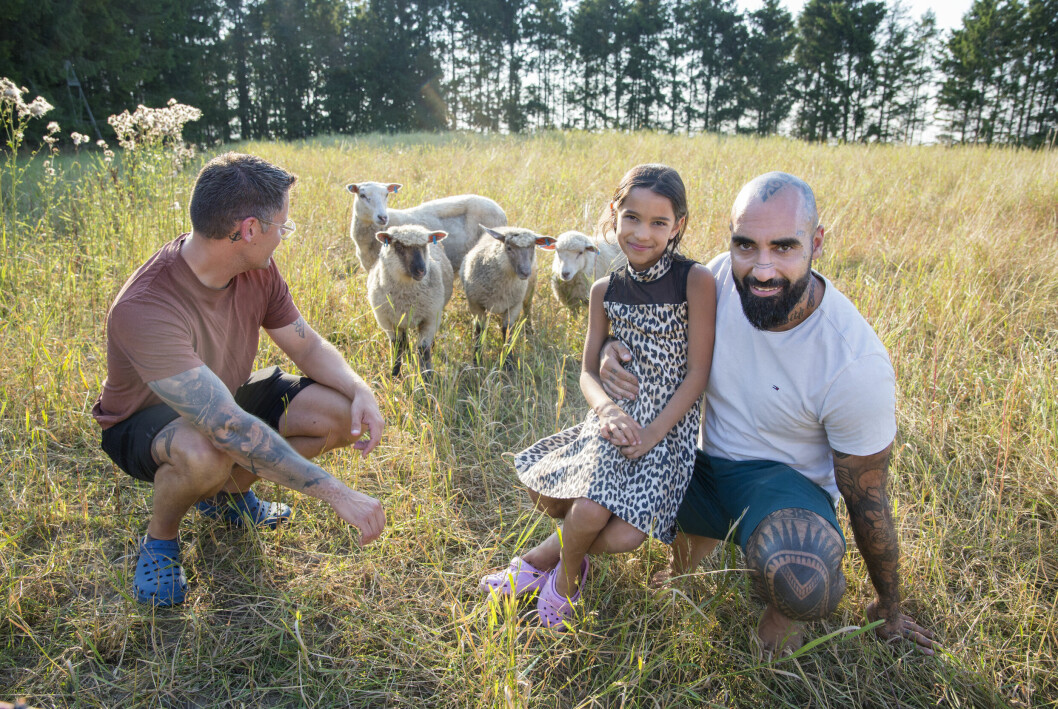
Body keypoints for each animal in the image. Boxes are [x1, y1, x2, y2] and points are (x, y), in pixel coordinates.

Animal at [366, 225, 452, 380]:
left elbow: (423, 350)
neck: (407, 294)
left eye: (424, 245)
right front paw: (395, 374)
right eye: (399, 246)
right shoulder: (387, 321)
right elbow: (396, 346)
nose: (421, 270)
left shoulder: (430, 318)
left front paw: (427, 377)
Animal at [461, 226, 558, 366]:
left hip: (530, 290)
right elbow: (479, 331)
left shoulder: (513, 306)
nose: (525, 272)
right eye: (509, 248)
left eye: (532, 247)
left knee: (527, 309)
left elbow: (507, 330)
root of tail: (510, 227)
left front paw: (508, 361)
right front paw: (477, 361)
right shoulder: (475, 304)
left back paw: (529, 330)